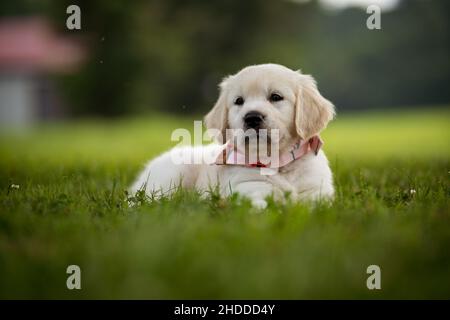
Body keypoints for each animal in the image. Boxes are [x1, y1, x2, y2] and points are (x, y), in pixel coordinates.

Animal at [130, 63, 334, 208]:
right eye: (239, 101)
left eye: (276, 97)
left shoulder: (319, 190)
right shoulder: (246, 187)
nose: (252, 117)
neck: (277, 163)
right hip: (172, 175)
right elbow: (261, 201)